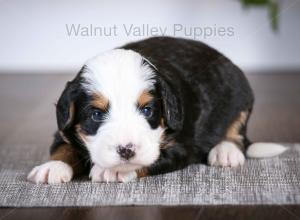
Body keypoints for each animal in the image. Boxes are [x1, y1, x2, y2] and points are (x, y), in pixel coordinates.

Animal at [27, 37, 286, 184]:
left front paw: (117, 171)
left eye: (147, 110)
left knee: (236, 132)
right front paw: (51, 168)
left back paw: (226, 152)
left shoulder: (180, 146)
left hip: (241, 96)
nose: (126, 150)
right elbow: (63, 149)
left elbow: (152, 159)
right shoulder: (63, 129)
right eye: (97, 114)